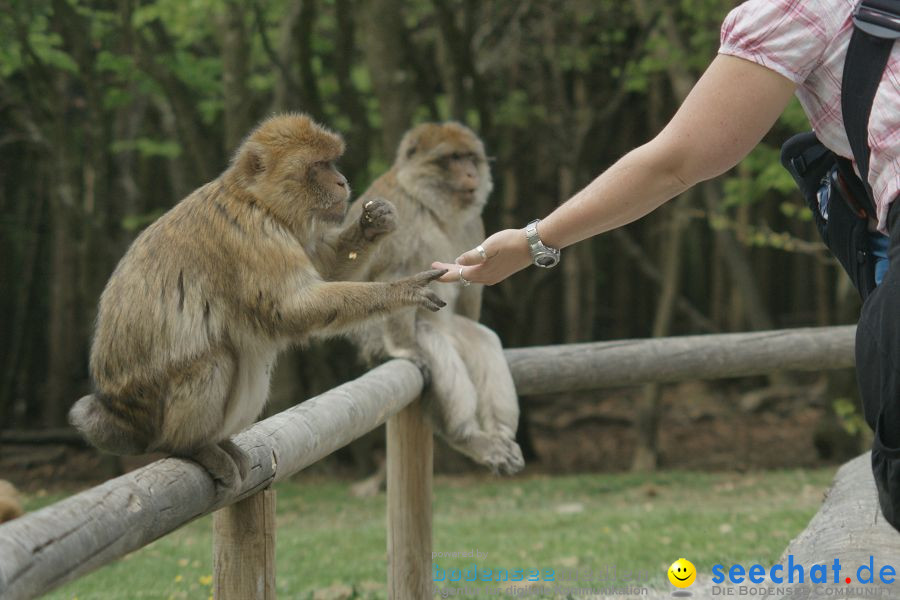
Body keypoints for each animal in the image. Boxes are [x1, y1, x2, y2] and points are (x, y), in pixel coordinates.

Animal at [68, 113, 448, 492]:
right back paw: (192, 446)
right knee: (214, 361)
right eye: (319, 165)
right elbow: (291, 308)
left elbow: (320, 269)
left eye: (332, 162)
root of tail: (119, 416)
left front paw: (374, 223)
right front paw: (402, 289)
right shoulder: (254, 236)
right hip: (154, 413)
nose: (342, 181)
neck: (258, 201)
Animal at [346, 122, 528, 476]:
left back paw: (500, 435)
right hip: (375, 338)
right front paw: (403, 349)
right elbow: (395, 275)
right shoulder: (402, 215)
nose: (471, 173)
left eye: (470, 158)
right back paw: (469, 436)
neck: (431, 206)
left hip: (457, 331)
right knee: (436, 348)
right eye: (454, 158)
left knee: (484, 340)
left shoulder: (472, 223)